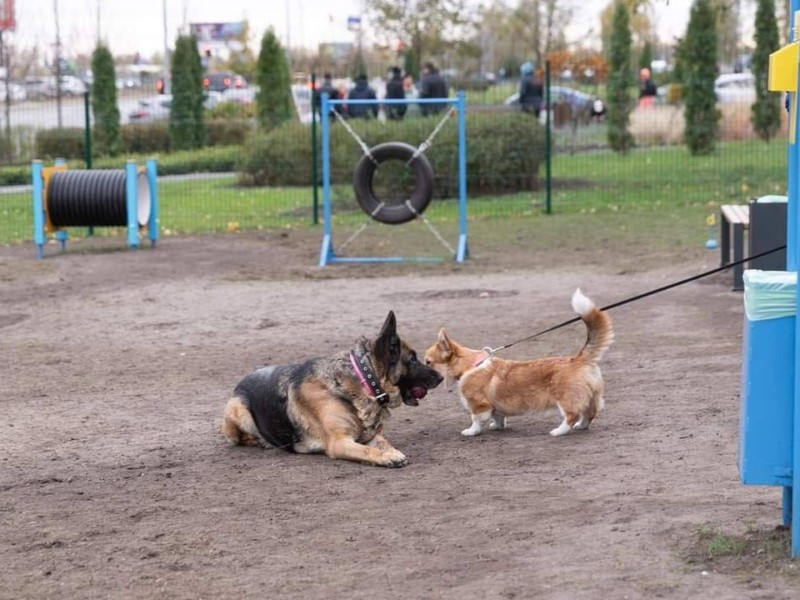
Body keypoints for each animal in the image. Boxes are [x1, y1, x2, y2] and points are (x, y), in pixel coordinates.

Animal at [222, 312, 440, 466]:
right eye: (412, 360)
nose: (441, 377)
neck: (363, 381)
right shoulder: (339, 442)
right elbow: (367, 450)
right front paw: (386, 457)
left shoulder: (372, 435)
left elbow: (384, 443)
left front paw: (392, 452)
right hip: (237, 410)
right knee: (241, 438)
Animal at [424, 290, 612, 436]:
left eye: (428, 362)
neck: (470, 365)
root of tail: (579, 359)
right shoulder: (494, 407)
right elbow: (498, 418)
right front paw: (497, 427)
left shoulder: (479, 405)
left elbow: (475, 419)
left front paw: (471, 431)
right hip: (592, 398)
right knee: (589, 414)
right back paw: (581, 426)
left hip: (565, 399)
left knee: (572, 416)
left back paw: (559, 431)